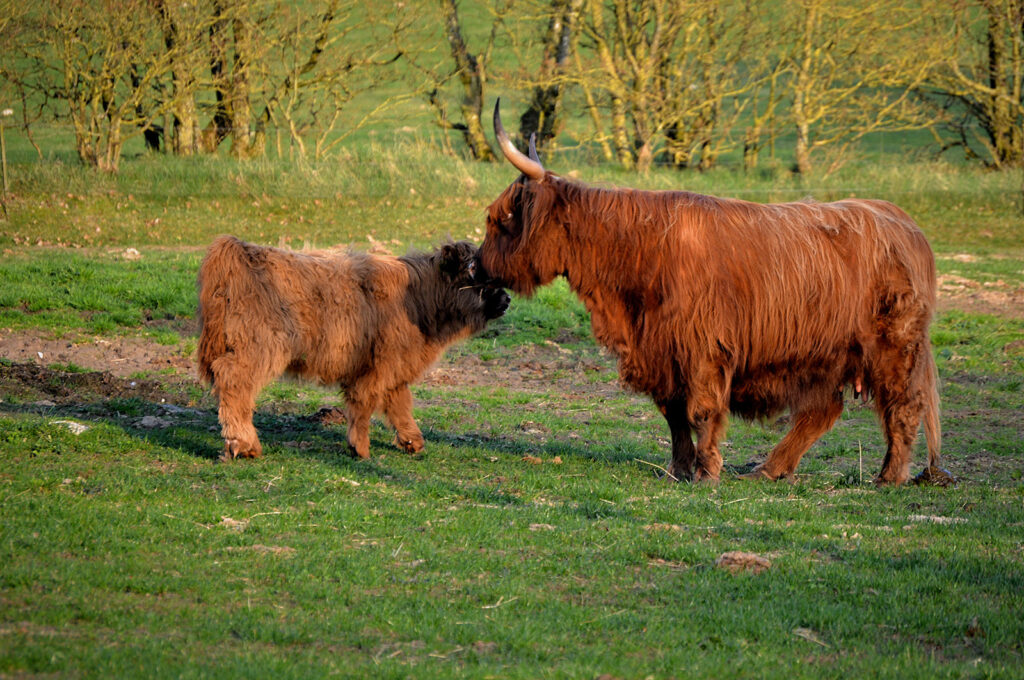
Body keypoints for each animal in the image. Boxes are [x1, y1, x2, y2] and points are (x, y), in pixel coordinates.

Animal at [196, 235, 507, 462]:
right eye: (474, 273)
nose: (506, 299)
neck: (419, 300)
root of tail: (238, 250)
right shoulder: (378, 364)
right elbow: (365, 402)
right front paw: (360, 448)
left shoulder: (395, 368)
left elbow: (400, 403)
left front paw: (413, 441)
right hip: (258, 347)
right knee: (234, 382)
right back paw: (244, 444)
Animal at [479, 99, 942, 483]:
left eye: (499, 219)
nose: (478, 265)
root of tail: (902, 221)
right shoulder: (662, 353)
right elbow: (673, 415)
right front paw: (679, 469)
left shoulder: (703, 349)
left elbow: (701, 412)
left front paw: (706, 472)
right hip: (825, 354)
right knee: (823, 410)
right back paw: (769, 469)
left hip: (893, 346)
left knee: (903, 406)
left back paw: (887, 477)